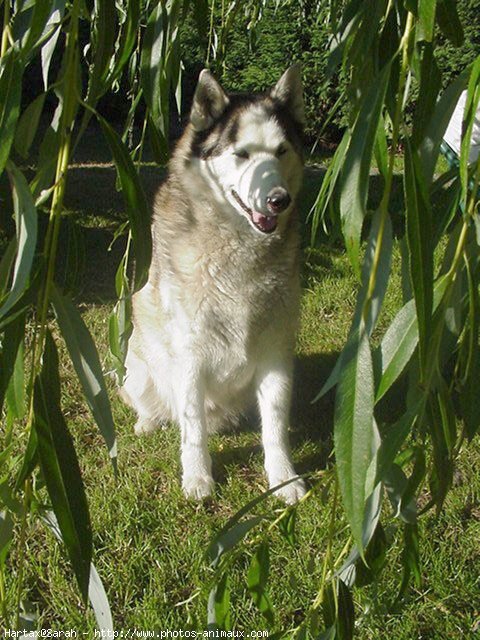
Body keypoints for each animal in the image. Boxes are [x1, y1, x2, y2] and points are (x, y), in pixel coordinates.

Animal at [121, 65, 308, 504]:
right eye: (241, 154)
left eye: (281, 151)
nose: (279, 200)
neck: (238, 246)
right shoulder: (189, 355)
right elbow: (192, 428)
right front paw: (198, 478)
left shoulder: (276, 352)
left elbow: (275, 425)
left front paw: (283, 478)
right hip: (136, 367)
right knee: (155, 406)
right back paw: (147, 422)